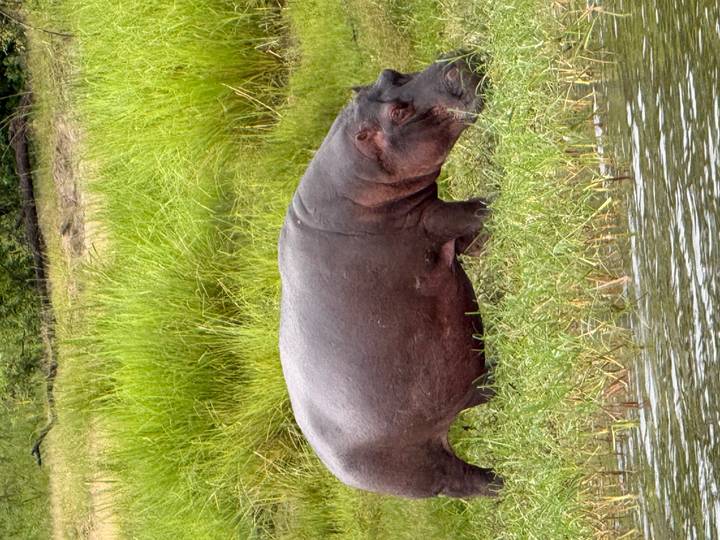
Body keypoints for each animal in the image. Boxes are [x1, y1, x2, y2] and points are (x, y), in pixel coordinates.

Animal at [278, 54, 502, 498]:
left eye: (390, 74)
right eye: (397, 113)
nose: (455, 62)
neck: (357, 179)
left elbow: (476, 233)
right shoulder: (432, 221)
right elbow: (474, 212)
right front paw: (499, 196)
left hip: (452, 394)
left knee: (471, 394)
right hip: (423, 472)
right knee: (464, 482)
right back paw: (503, 482)